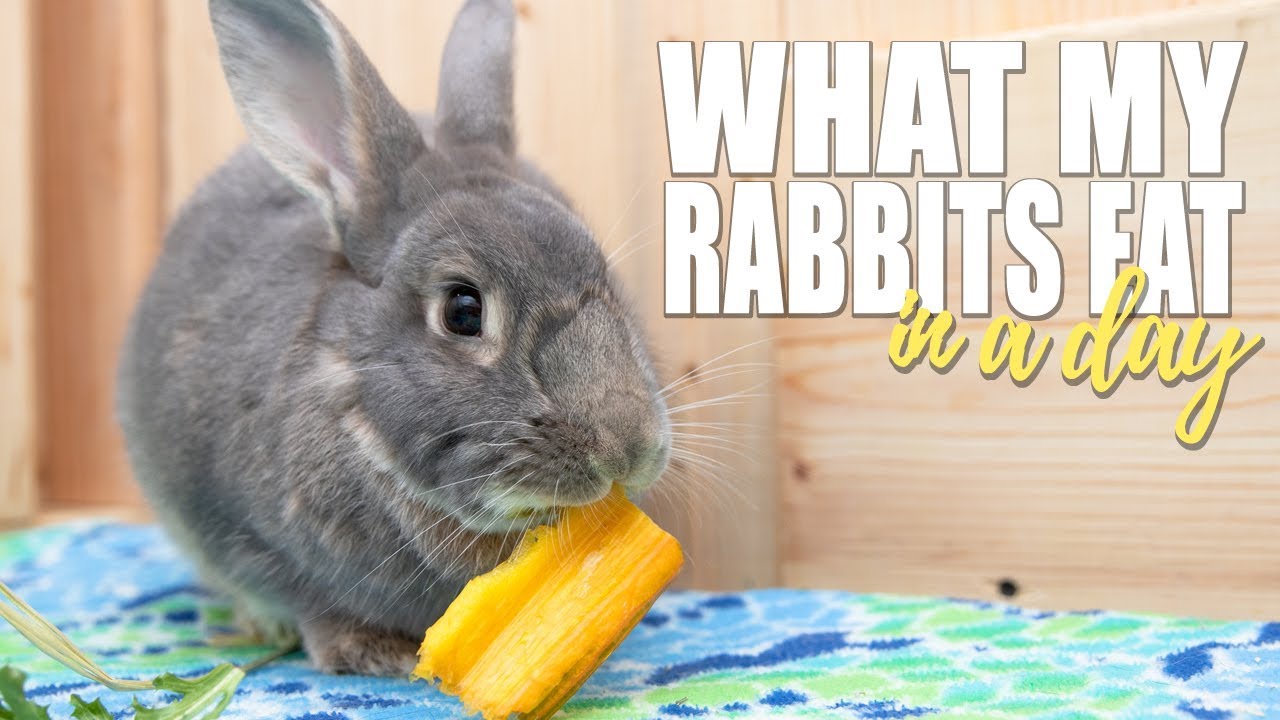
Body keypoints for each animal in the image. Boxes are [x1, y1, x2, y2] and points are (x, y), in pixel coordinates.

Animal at [117, 0, 671, 676]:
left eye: (603, 272)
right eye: (462, 310)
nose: (628, 450)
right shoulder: (249, 537)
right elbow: (312, 606)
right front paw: (373, 654)